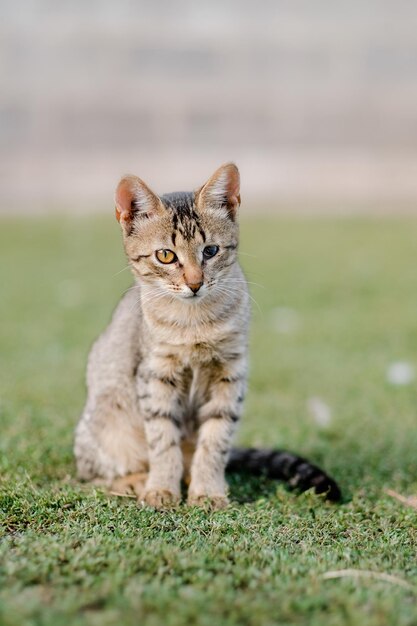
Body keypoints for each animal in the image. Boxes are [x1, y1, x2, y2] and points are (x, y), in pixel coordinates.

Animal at [75, 162, 342, 508]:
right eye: (165, 255)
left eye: (211, 251)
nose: (194, 283)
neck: (195, 323)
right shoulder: (156, 374)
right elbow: (162, 441)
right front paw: (161, 489)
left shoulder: (230, 374)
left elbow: (215, 440)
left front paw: (208, 491)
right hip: (104, 424)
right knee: (93, 474)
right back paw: (135, 480)